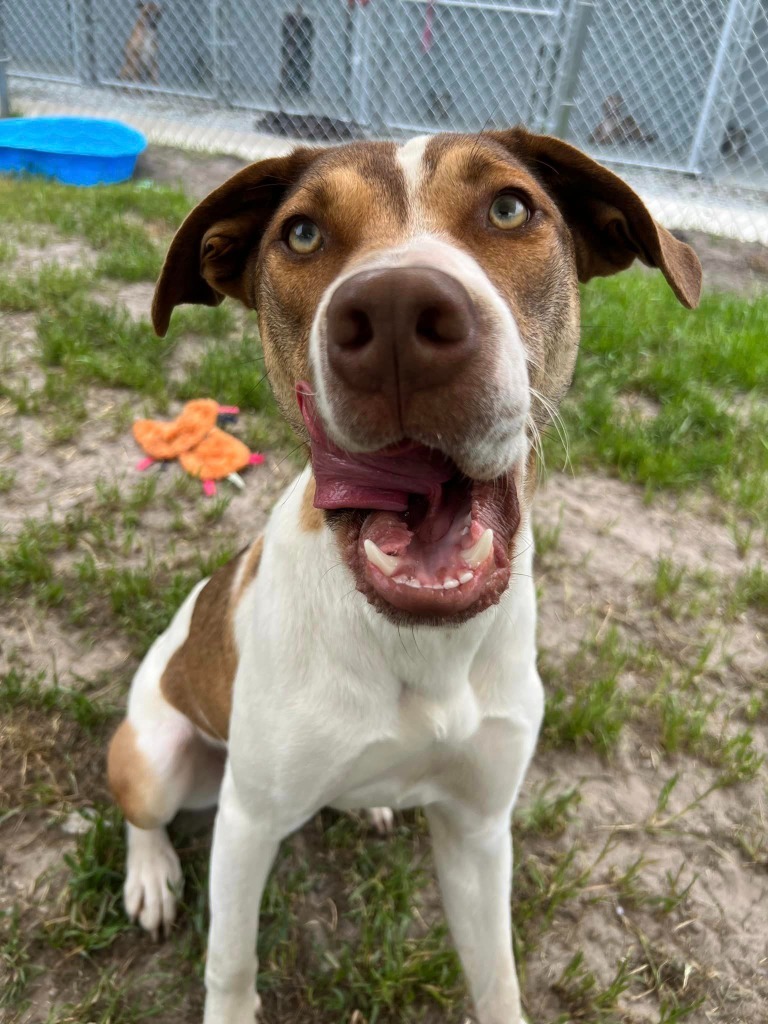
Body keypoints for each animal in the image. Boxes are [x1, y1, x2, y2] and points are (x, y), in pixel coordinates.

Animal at [108, 130, 704, 1024]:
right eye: (303, 234)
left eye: (510, 208)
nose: (393, 317)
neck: (422, 647)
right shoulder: (247, 822)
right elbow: (232, 968)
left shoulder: (479, 829)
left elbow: (497, 979)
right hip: (155, 756)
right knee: (141, 813)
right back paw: (150, 874)